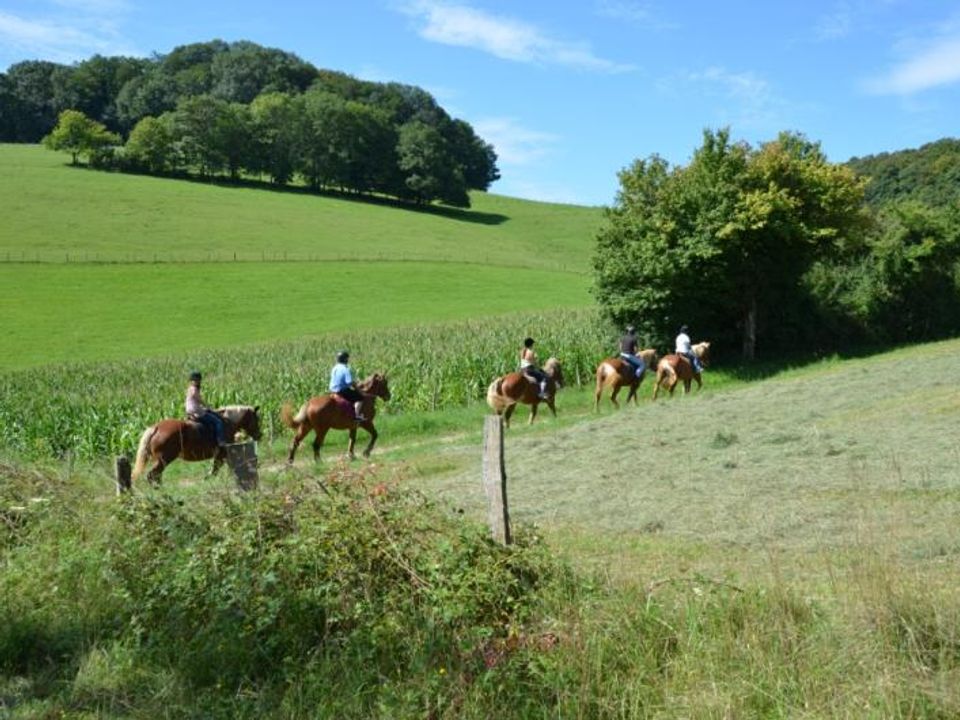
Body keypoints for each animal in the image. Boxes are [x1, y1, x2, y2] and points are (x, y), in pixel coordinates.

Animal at [132, 404, 262, 484]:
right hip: (163, 459)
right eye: (256, 420)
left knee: (156, 476)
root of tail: (156, 428)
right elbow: (217, 468)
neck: (227, 422)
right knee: (152, 475)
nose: (259, 435)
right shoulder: (223, 453)